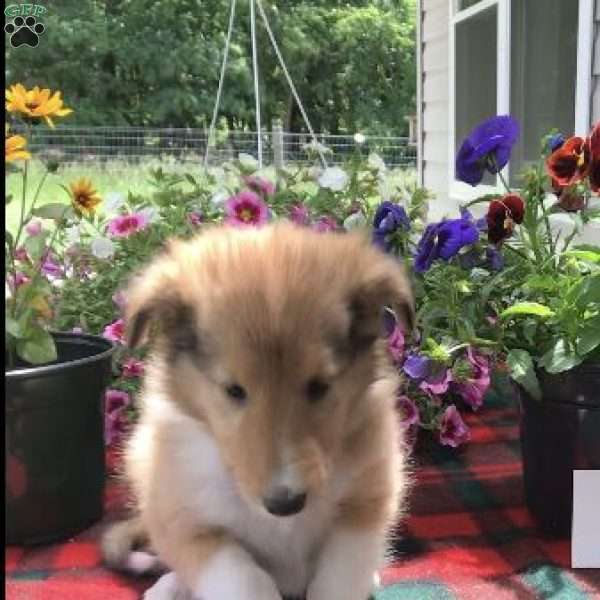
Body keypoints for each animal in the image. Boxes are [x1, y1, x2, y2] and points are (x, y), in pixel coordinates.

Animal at [102, 221, 412, 600]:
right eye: (234, 390)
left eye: (319, 386)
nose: (285, 504)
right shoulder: (189, 523)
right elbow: (242, 576)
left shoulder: (365, 504)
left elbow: (340, 575)